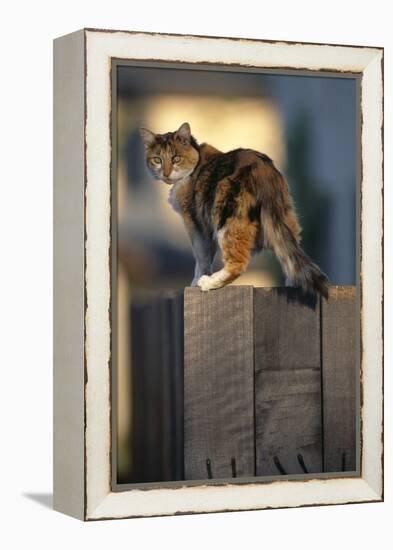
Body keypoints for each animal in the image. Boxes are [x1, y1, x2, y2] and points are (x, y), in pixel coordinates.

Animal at [139, 123, 330, 300]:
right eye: (157, 159)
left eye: (176, 158)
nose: (166, 173)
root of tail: (263, 172)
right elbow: (208, 254)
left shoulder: (194, 222)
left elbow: (201, 256)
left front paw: (196, 281)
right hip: (285, 218)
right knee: (289, 250)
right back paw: (293, 282)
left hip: (226, 216)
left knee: (238, 263)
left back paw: (208, 282)